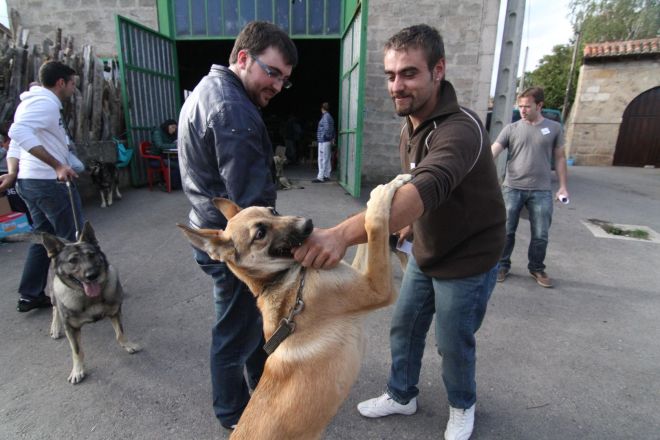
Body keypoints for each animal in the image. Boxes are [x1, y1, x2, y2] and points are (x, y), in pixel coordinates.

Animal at [41, 221, 140, 384]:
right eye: (72, 261)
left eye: (91, 255)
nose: (92, 275)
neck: (90, 298)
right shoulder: (71, 328)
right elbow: (77, 351)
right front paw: (78, 370)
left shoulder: (115, 312)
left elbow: (120, 333)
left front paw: (128, 344)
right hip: (54, 293)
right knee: (54, 308)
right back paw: (55, 327)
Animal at [178, 173, 412, 439]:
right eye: (260, 233)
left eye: (273, 210)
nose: (308, 224)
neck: (283, 278)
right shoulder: (377, 287)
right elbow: (374, 224)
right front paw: (385, 191)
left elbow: (367, 232)